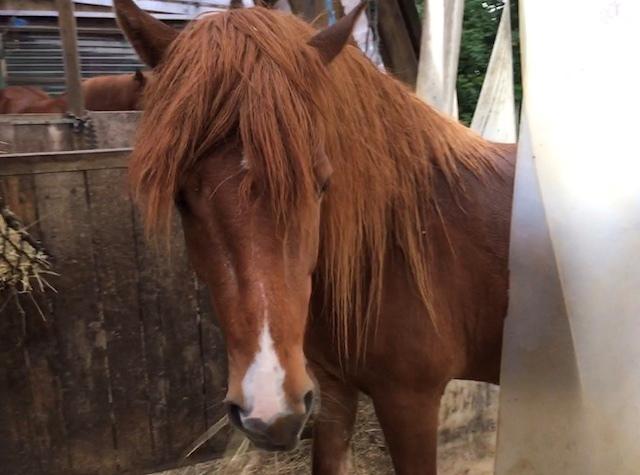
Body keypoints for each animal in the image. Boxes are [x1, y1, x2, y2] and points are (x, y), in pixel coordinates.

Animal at [114, 1, 516, 474]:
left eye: (321, 183)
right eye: (180, 196)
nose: (268, 412)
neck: (394, 247)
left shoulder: (411, 402)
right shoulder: (332, 389)